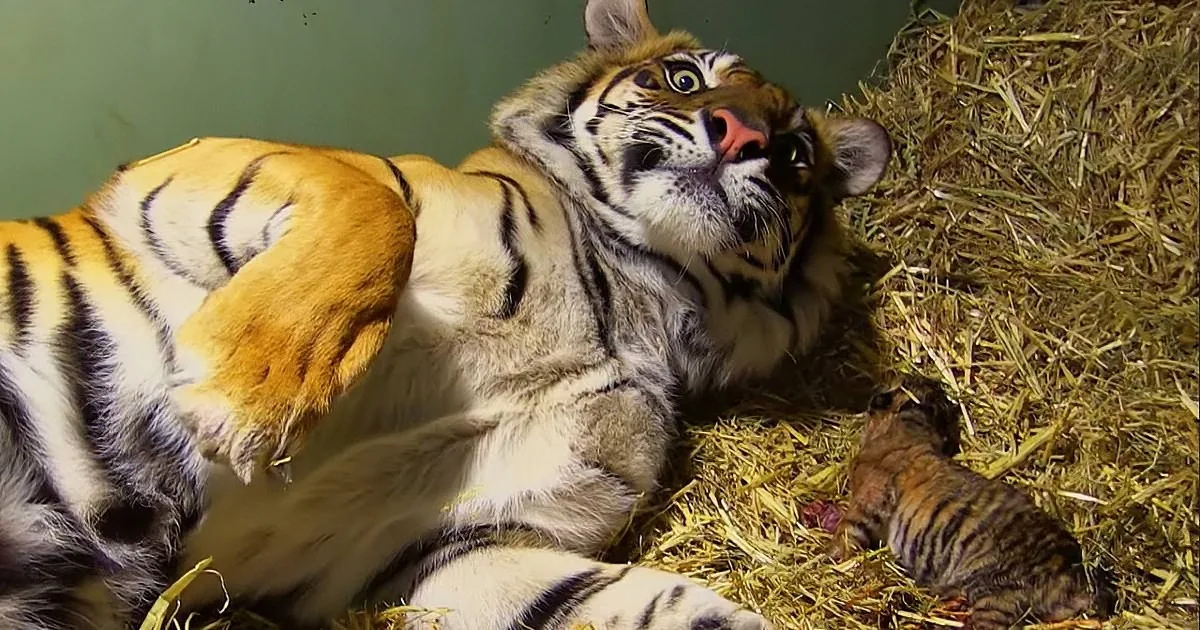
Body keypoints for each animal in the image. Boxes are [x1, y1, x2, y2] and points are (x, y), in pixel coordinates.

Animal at [0, 0, 892, 627]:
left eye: (795, 155)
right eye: (682, 79)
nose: (741, 134)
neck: (638, 296)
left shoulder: (446, 547)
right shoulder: (196, 165)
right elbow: (377, 212)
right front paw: (243, 399)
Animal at [827, 376, 1116, 630]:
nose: (938, 383)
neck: (910, 425)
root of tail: (1071, 572)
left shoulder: (868, 502)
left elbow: (847, 534)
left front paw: (832, 559)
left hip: (997, 593)